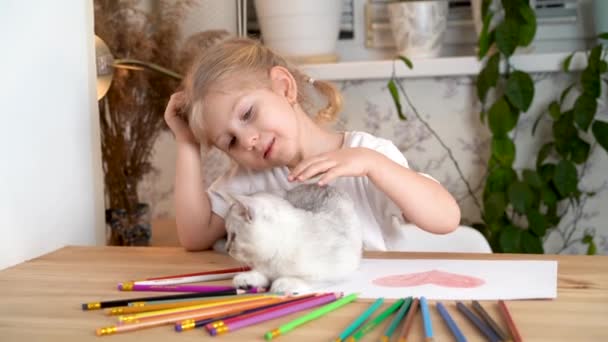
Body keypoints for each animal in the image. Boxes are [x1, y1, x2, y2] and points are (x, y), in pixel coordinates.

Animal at [226, 184, 364, 294]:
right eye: (227, 234)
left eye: (233, 236)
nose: (226, 249)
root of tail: (324, 185)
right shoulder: (264, 267)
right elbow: (261, 273)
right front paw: (246, 280)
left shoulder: (338, 270)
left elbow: (307, 279)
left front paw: (283, 283)